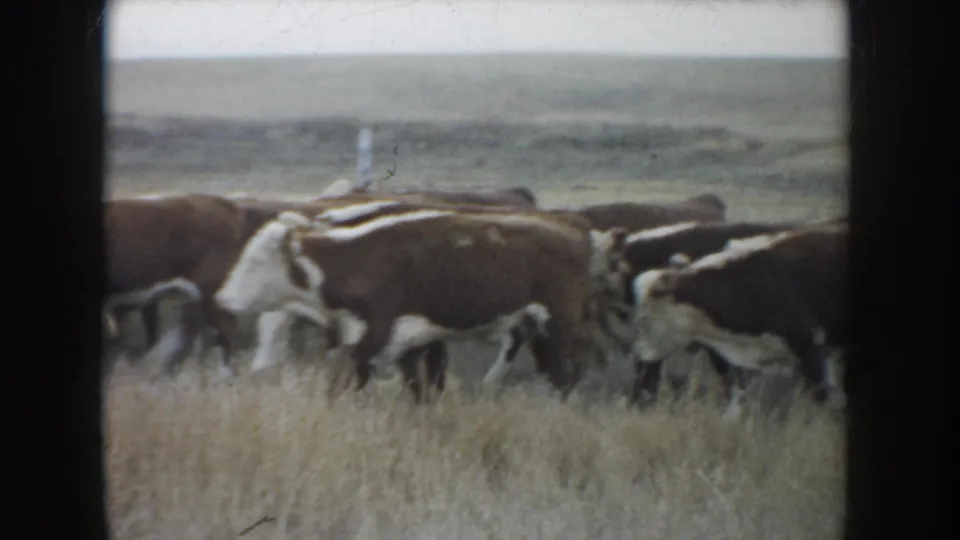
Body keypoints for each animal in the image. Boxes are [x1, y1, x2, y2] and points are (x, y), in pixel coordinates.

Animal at [214, 208, 621, 403]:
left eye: (258, 260)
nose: (223, 298)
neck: (357, 261)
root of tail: (576, 228)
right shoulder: (406, 342)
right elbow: (416, 387)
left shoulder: (374, 335)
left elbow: (343, 382)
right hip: (536, 326)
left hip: (561, 321)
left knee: (576, 364)